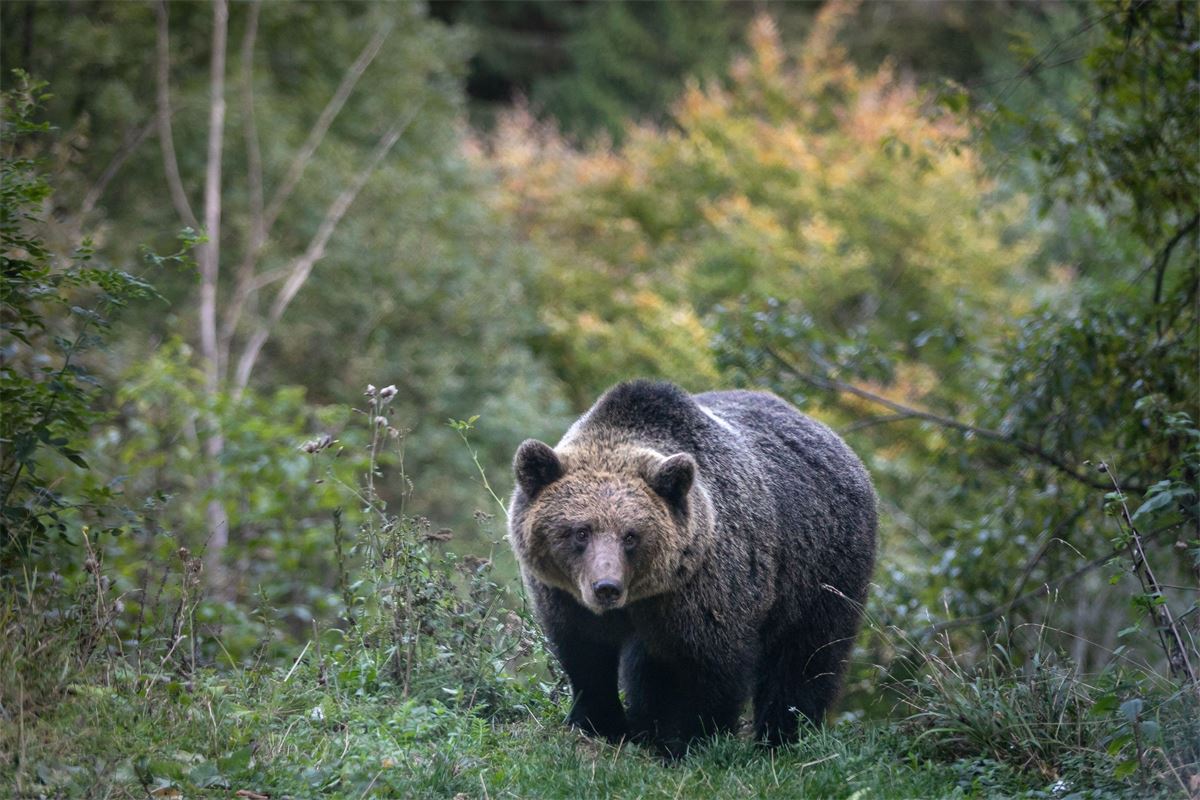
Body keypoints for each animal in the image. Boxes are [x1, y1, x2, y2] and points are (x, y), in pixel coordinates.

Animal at [507, 380, 877, 756]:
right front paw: (601, 724)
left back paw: (783, 735)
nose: (606, 587)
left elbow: (711, 669)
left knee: (806, 658)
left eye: (631, 535)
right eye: (581, 531)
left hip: (821, 570)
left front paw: (692, 739)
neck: (644, 595)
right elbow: (586, 657)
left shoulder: (707, 591)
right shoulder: (565, 596)